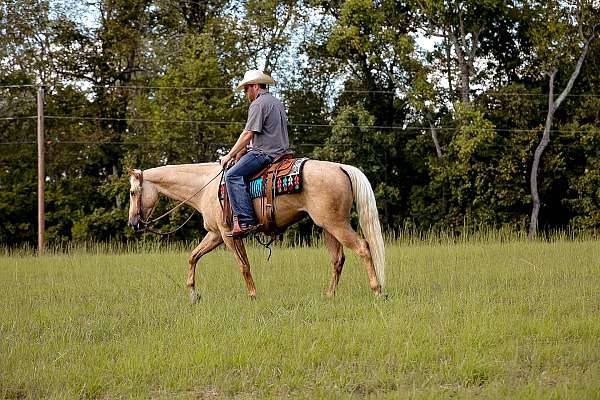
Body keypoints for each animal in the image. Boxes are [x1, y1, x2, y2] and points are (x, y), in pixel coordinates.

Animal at [129, 161, 386, 302]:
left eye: (132, 192)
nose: (133, 223)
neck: (205, 187)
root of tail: (340, 167)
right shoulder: (215, 235)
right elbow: (193, 257)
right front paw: (193, 295)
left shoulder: (228, 235)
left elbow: (243, 265)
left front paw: (252, 295)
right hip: (328, 227)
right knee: (338, 259)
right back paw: (329, 295)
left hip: (336, 225)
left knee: (363, 248)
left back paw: (377, 292)